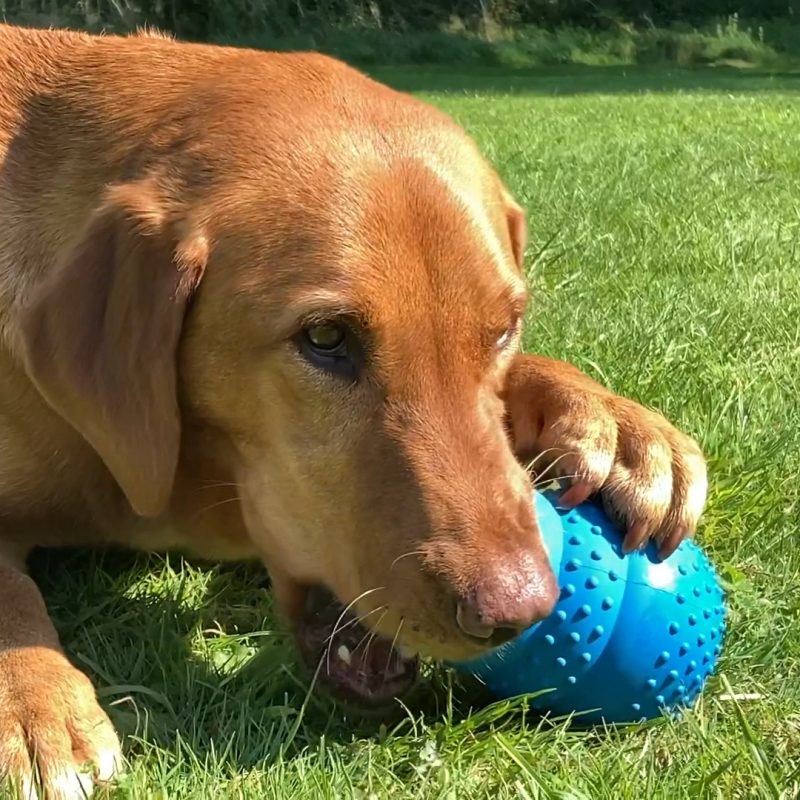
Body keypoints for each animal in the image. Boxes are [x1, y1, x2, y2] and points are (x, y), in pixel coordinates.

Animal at [0, 21, 708, 796]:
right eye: (326, 338)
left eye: (504, 331)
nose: (518, 613)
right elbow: (9, 595)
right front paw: (35, 710)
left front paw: (622, 429)